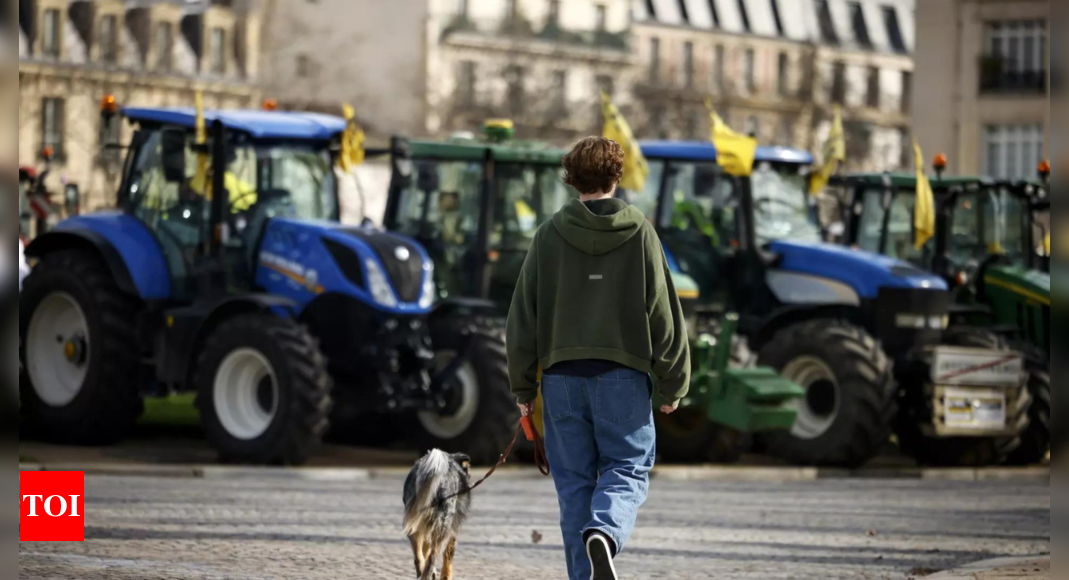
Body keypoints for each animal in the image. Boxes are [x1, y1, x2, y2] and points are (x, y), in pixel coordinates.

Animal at [401, 448, 470, 580]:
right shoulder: (452, 530)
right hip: (443, 526)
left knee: (419, 558)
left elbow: (425, 550)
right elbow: (448, 557)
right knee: (432, 558)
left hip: (415, 526)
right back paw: (428, 574)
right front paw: (445, 576)